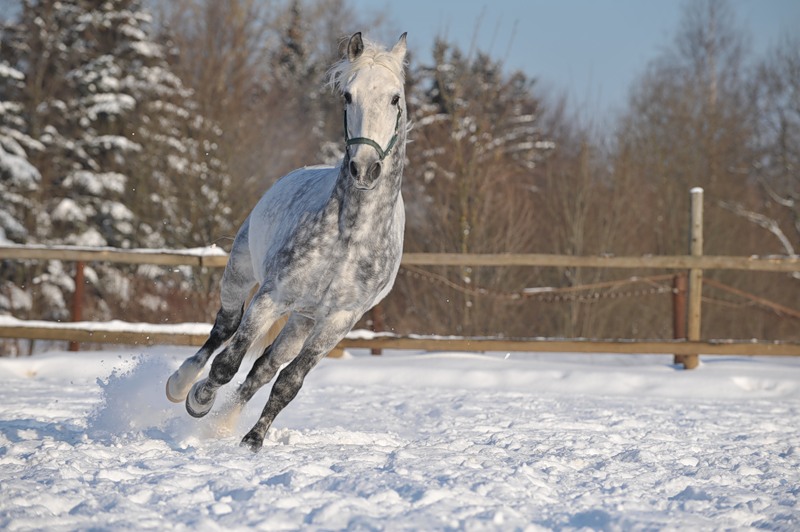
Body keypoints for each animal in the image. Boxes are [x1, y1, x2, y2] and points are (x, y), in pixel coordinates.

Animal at [166, 31, 410, 450]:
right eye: (348, 95)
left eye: (395, 98)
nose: (364, 168)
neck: (350, 237)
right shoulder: (272, 296)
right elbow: (227, 362)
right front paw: (199, 400)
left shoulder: (337, 321)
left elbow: (288, 381)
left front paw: (253, 438)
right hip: (242, 275)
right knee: (224, 331)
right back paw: (181, 385)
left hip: (302, 318)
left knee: (265, 367)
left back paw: (226, 423)